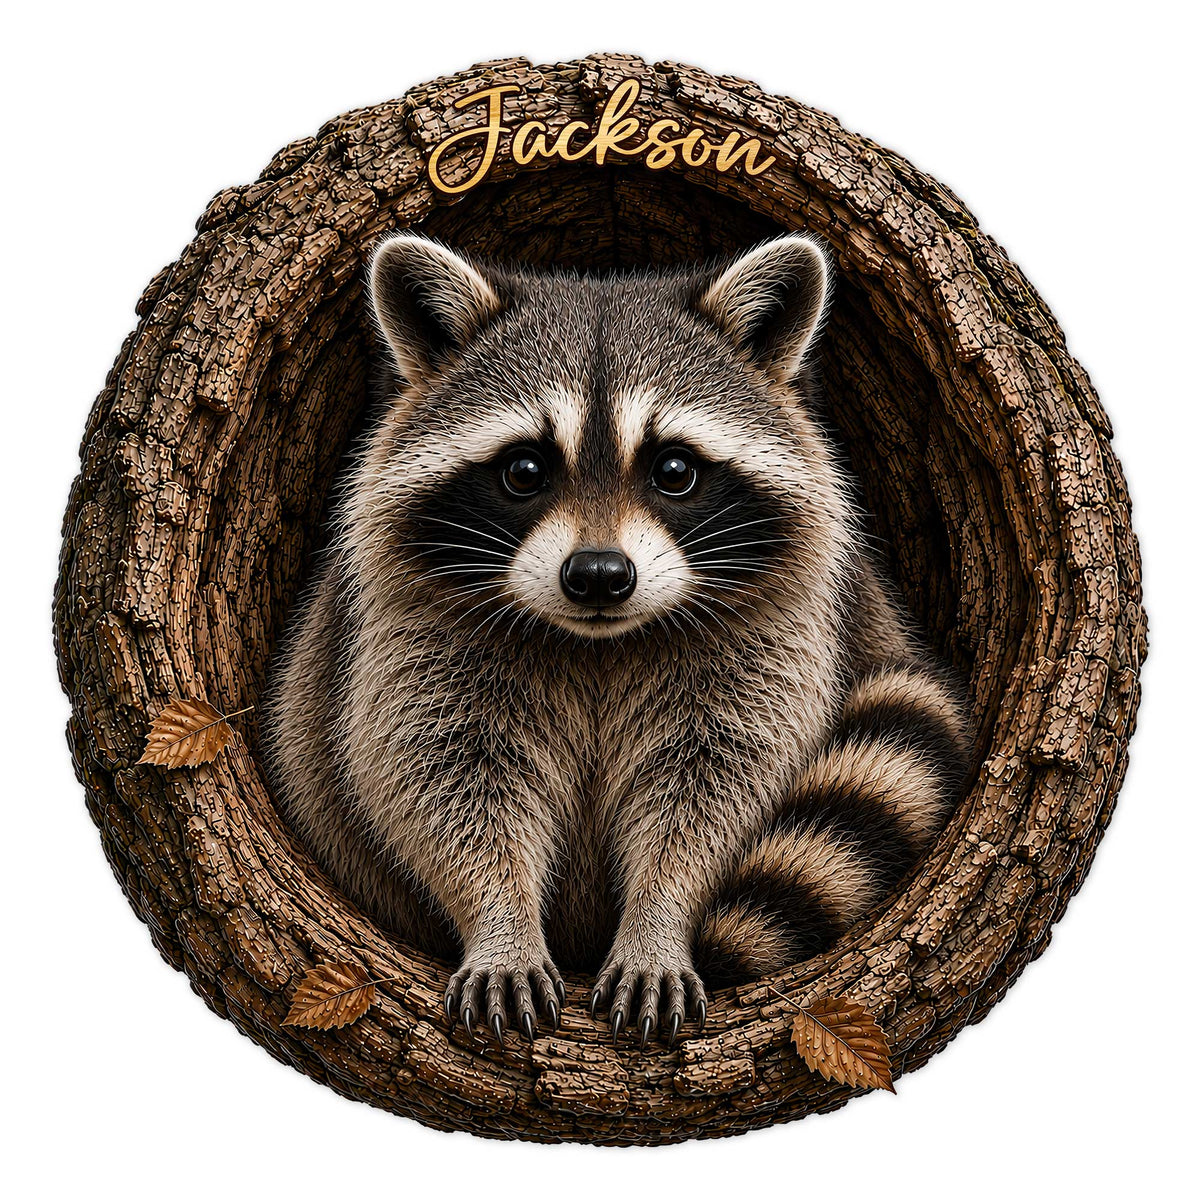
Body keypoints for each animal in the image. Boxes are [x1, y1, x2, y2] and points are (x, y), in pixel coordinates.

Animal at [264, 232, 969, 1048]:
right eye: (524, 470)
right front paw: (499, 921)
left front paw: (661, 919)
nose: (599, 576)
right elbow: (438, 779)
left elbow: (719, 785)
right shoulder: (411, 631)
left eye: (674, 470)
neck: (598, 640)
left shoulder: (774, 634)